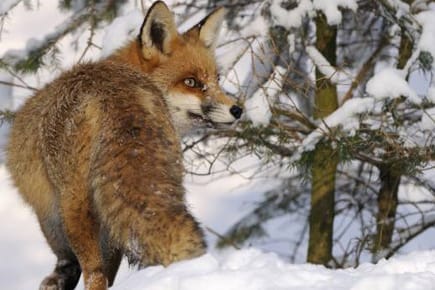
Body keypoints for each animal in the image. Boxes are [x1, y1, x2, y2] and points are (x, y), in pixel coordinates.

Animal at [5, 2, 242, 290]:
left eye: (217, 79)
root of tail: (117, 93)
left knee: (94, 273)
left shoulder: (48, 211)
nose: (238, 109)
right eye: (192, 82)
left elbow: (70, 262)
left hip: (72, 206)